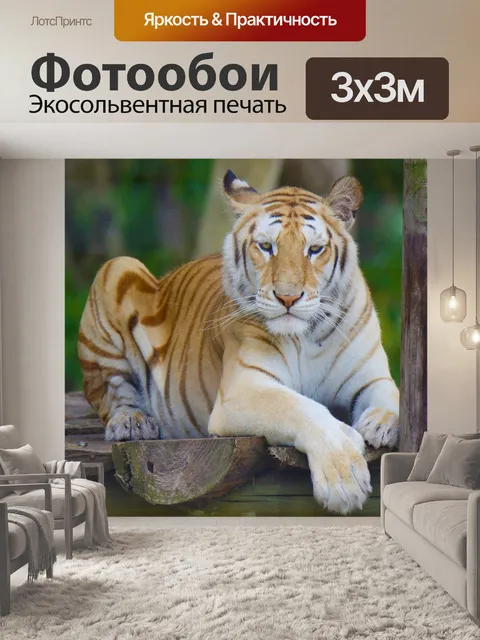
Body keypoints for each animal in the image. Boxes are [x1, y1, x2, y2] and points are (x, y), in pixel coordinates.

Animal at [78, 170, 399, 514]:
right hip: (118, 267)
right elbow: (302, 408)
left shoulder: (372, 377)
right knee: (110, 392)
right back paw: (133, 422)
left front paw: (380, 425)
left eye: (314, 249)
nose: (287, 297)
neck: (306, 336)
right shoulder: (243, 389)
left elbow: (392, 397)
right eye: (266, 246)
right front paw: (344, 476)